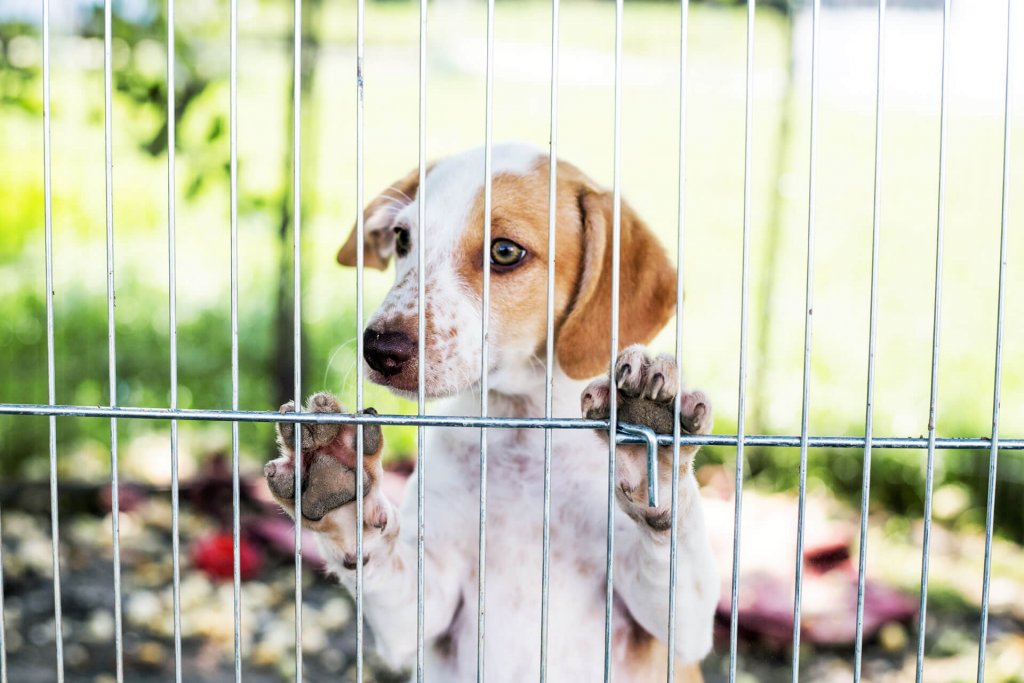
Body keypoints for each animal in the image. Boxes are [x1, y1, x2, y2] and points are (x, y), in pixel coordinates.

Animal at [264, 141, 720, 679]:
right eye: (402, 238)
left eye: (504, 252)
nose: (378, 348)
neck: (518, 429)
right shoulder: (421, 608)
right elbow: (375, 556)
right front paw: (337, 486)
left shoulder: (678, 634)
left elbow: (675, 545)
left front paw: (654, 452)